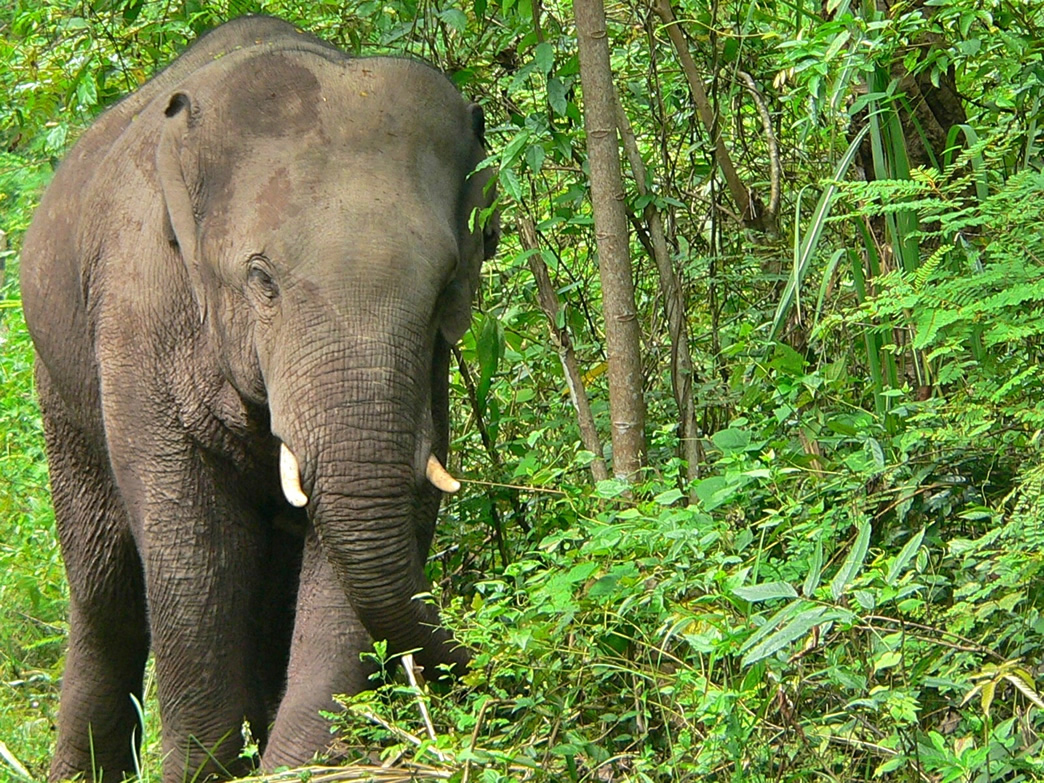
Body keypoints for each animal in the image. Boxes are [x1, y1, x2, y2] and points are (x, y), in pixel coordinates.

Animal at [20, 15, 498, 782]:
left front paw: (297, 763)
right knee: (103, 586)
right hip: (59, 384)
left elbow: (383, 517)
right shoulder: (137, 314)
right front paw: (199, 769)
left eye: (445, 285)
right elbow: (193, 546)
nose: (477, 664)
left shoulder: (428, 372)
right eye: (262, 280)